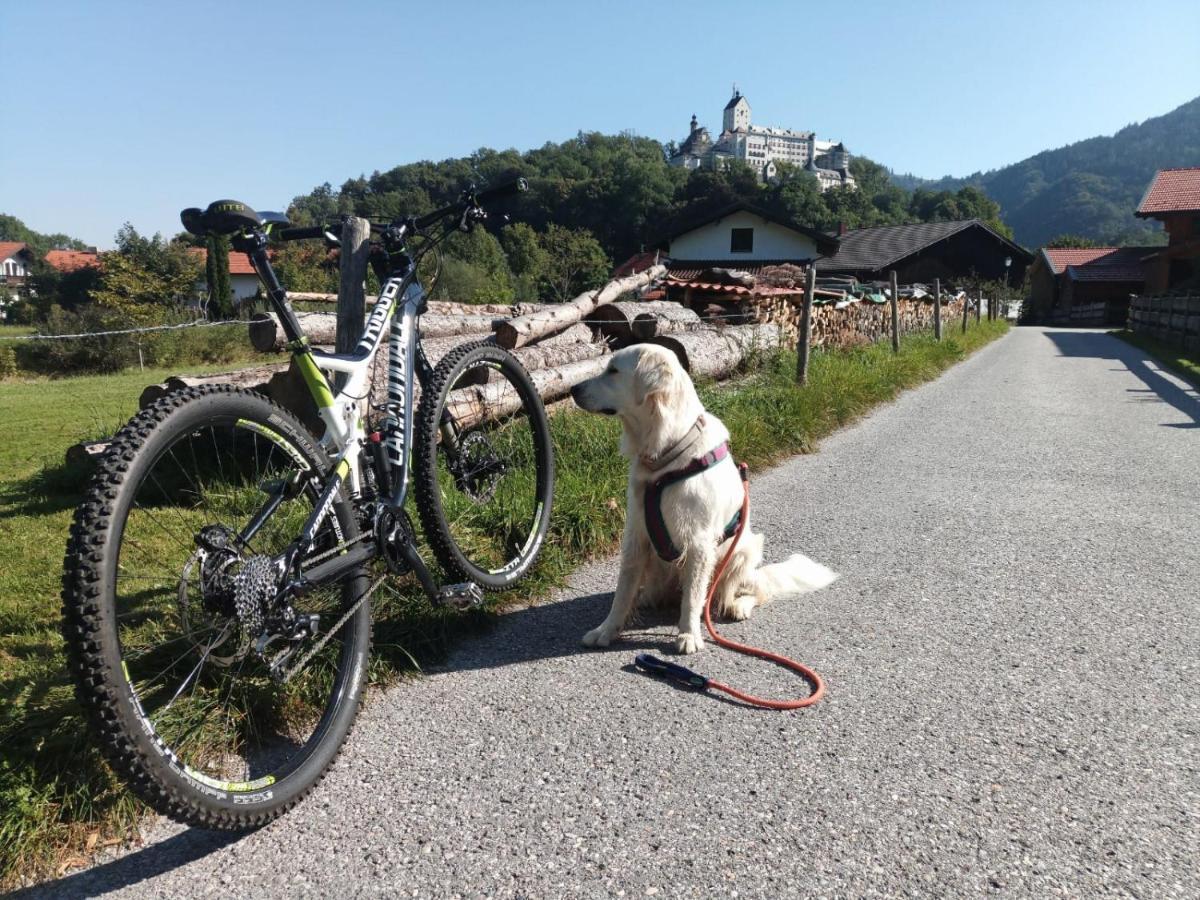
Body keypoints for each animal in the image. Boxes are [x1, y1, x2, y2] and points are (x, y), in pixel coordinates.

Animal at [568, 345, 835, 657]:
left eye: (612, 370)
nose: (573, 389)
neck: (666, 456)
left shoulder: (699, 543)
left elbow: (694, 598)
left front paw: (689, 634)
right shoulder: (636, 536)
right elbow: (622, 594)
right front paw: (606, 631)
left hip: (746, 549)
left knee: (751, 591)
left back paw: (738, 606)